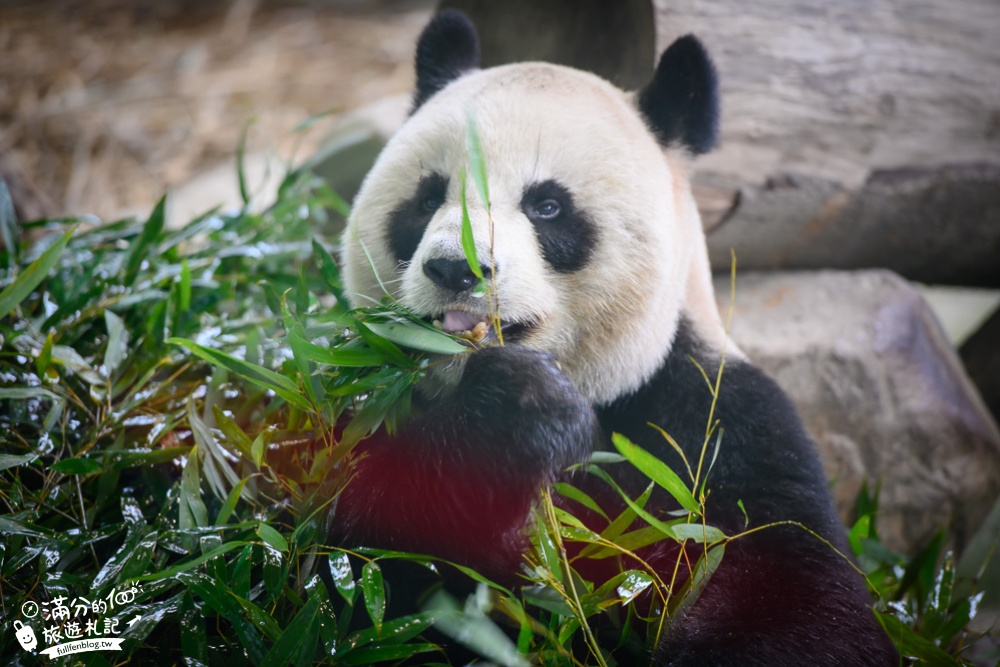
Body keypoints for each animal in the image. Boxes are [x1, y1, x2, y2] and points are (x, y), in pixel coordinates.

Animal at [336, 10, 900, 667]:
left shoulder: (719, 439)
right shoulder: (354, 403)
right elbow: (358, 570)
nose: (456, 268)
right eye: (427, 198)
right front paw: (516, 414)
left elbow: (800, 605)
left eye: (547, 206)